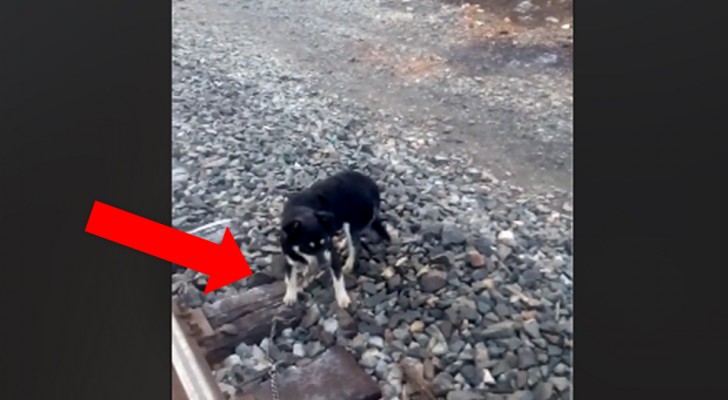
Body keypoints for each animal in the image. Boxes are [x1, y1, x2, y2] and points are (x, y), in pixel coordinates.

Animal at [280, 170, 392, 308]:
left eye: (324, 243)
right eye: (308, 247)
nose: (325, 265)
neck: (301, 212)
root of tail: (372, 184)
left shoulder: (331, 255)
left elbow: (338, 279)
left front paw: (342, 298)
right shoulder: (289, 257)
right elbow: (291, 277)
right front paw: (291, 294)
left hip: (351, 224)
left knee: (355, 246)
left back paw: (348, 264)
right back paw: (343, 243)